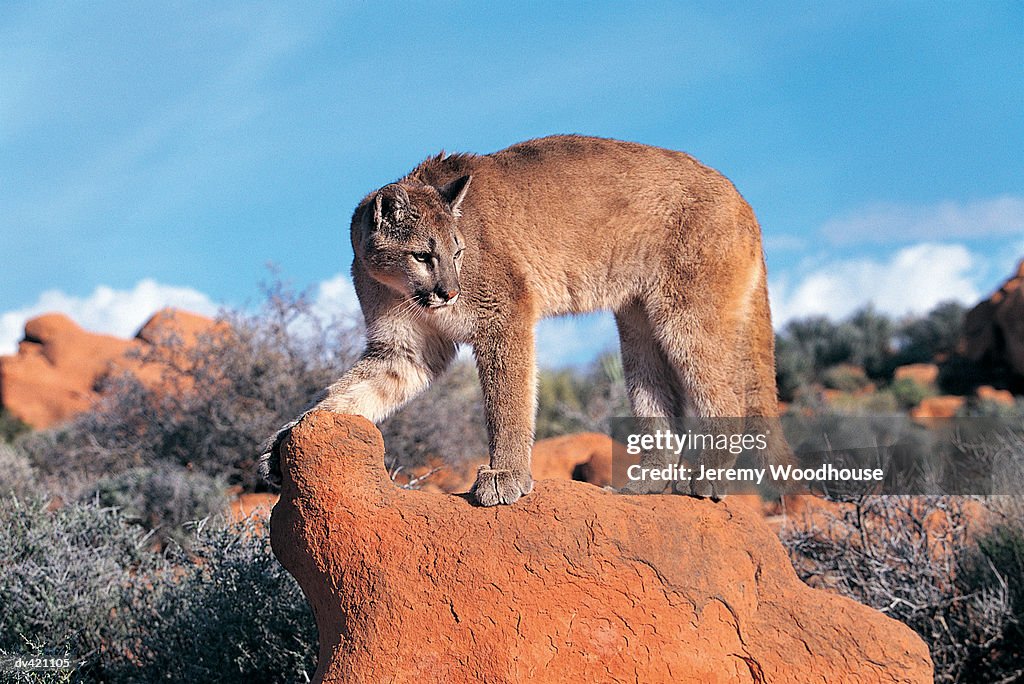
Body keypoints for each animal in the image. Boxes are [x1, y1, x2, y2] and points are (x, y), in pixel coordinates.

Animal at [260, 136, 786, 505]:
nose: (449, 291)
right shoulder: (405, 349)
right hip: (638, 324)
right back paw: (643, 487)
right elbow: (352, 391)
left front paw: (506, 476)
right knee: (658, 396)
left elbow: (507, 401)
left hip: (686, 314)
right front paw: (287, 438)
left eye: (457, 252)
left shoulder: (504, 315)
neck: (397, 287)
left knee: (725, 393)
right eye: (423, 255)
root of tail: (739, 196)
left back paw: (706, 478)